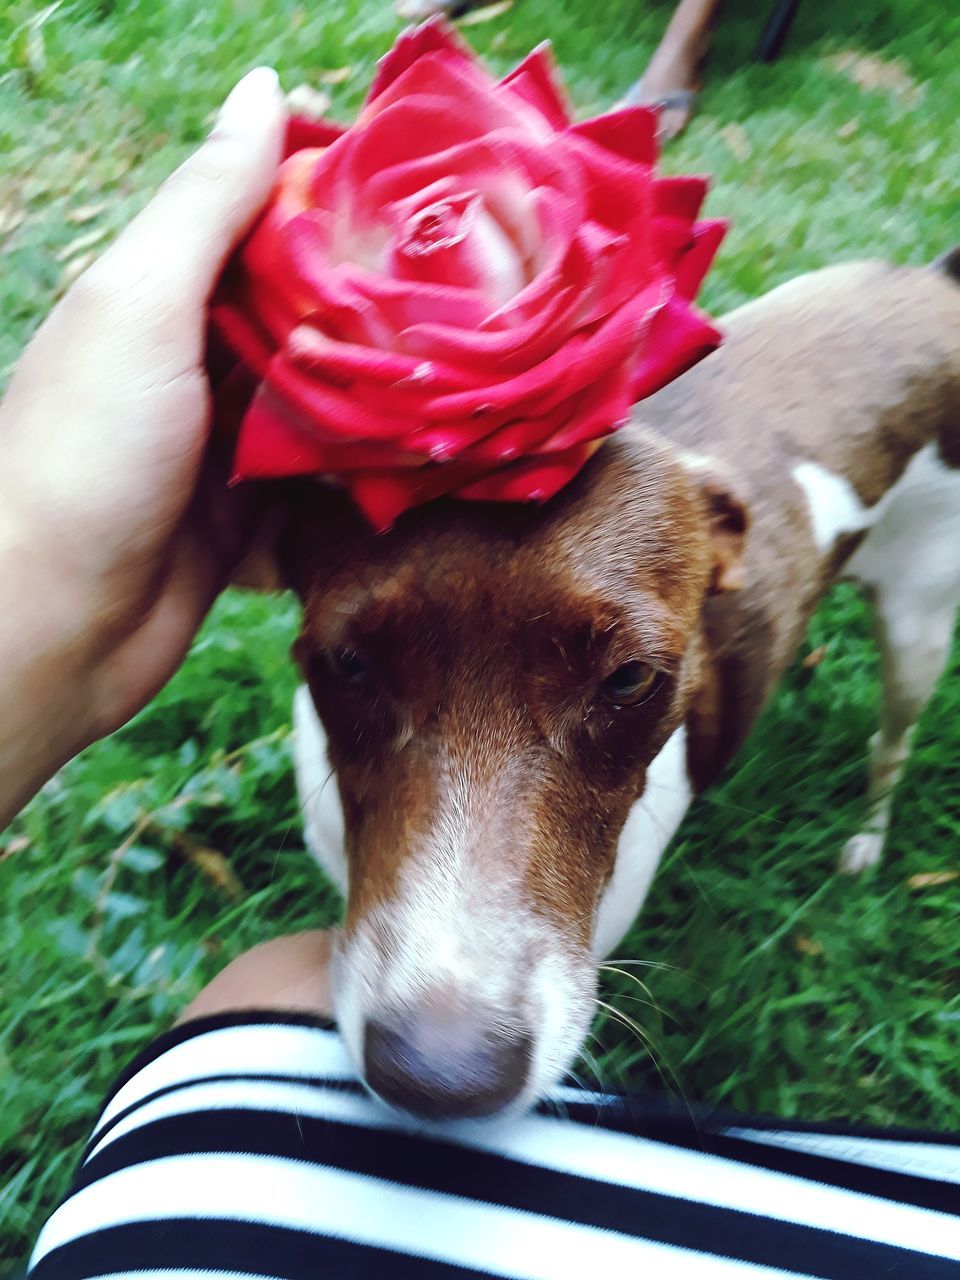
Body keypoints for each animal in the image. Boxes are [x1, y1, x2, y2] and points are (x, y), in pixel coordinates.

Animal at [264, 252, 960, 1121]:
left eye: (630, 679)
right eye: (350, 664)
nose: (441, 1078)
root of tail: (936, 278)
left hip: (918, 625)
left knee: (890, 744)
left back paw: (866, 838)